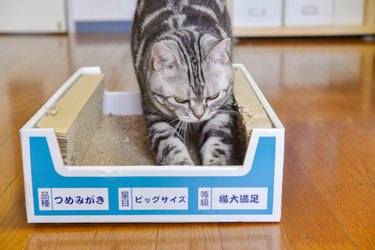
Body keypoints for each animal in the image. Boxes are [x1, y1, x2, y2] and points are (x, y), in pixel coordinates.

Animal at [131, 0, 238, 166]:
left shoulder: (220, 111)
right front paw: (185, 166)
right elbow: (172, 149)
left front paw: (215, 166)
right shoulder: (157, 117)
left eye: (213, 97)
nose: (199, 116)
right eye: (179, 100)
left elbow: (216, 145)